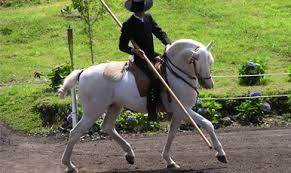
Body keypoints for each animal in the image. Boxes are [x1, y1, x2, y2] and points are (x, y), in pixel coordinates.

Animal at [60, 39, 228, 173]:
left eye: (210, 61)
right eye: (196, 60)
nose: (209, 84)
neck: (175, 74)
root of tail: (82, 72)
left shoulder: (179, 113)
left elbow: (172, 134)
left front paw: (169, 161)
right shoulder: (184, 110)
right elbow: (208, 124)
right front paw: (220, 154)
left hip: (115, 106)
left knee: (107, 127)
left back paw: (129, 154)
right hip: (92, 112)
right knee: (75, 133)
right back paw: (69, 165)